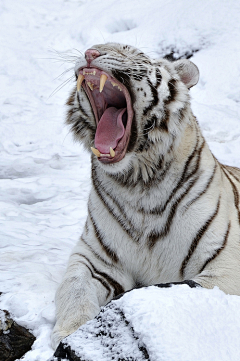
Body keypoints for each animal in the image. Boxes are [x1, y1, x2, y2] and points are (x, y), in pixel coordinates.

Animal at [51, 42, 240, 348]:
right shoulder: (94, 260)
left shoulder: (226, 265)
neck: (138, 184)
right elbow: (74, 291)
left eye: (129, 50)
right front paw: (70, 334)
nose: (90, 53)